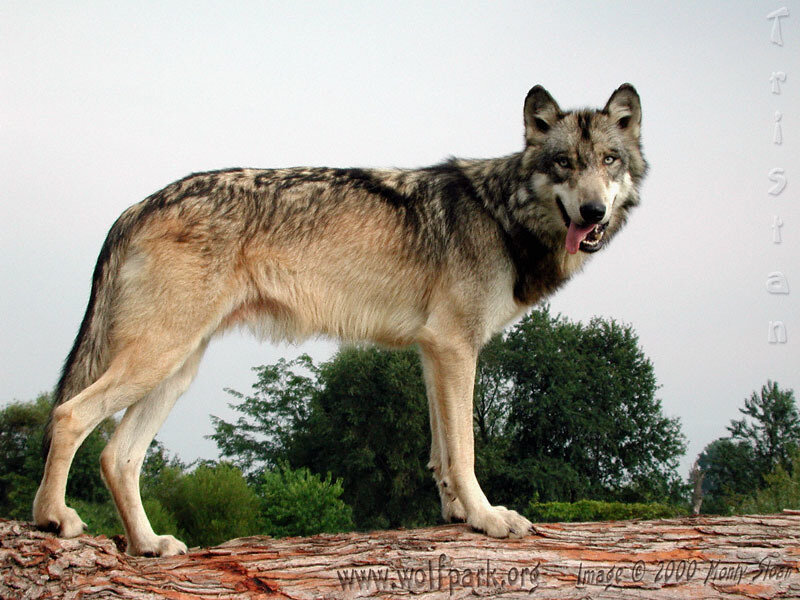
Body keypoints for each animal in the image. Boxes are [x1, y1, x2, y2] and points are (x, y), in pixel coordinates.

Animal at [34, 84, 647, 556]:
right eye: (564, 163)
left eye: (608, 161)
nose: (593, 212)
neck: (503, 214)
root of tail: (135, 208)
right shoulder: (455, 347)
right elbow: (466, 449)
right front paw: (488, 517)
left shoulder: (435, 353)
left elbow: (441, 451)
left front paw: (456, 514)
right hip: (157, 358)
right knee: (68, 416)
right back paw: (54, 518)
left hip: (175, 371)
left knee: (118, 456)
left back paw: (148, 545)